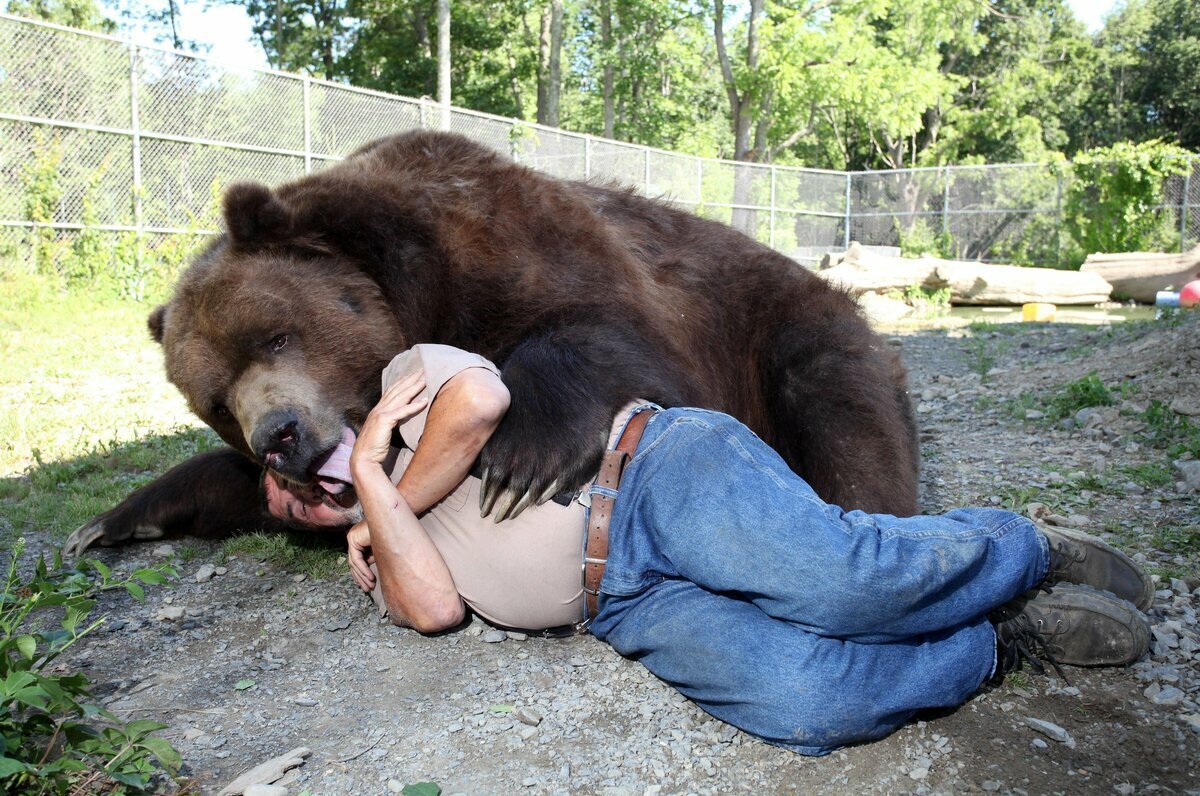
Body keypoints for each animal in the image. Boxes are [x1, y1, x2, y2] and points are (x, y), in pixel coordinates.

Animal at [65, 130, 918, 557]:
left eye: (275, 333)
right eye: (214, 400)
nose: (280, 437)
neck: (411, 294)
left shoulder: (520, 247)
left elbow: (609, 333)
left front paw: (518, 459)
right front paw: (113, 519)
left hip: (786, 323)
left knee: (845, 412)